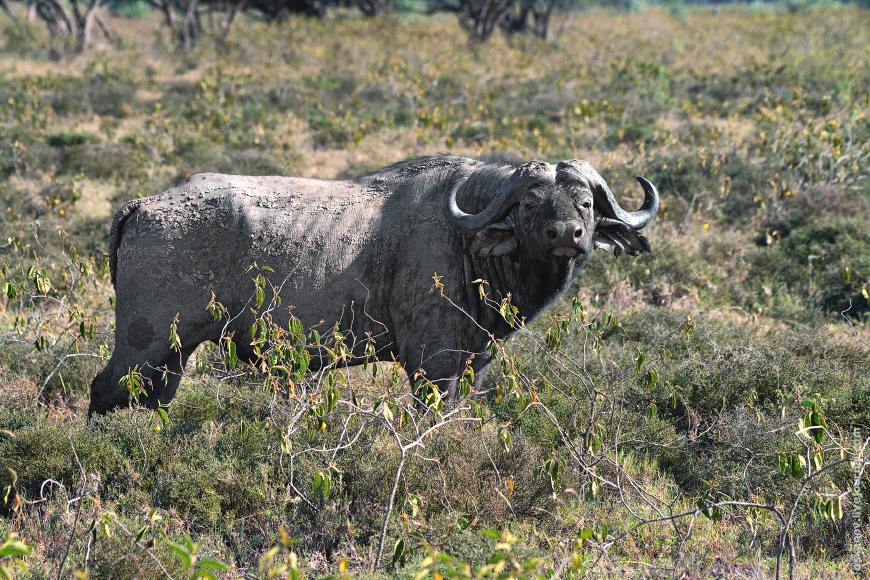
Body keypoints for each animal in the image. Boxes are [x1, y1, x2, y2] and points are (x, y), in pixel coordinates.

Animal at [90, 156, 660, 414]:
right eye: (532, 204)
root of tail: (145, 205)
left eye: (585, 202)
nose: (567, 234)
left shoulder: (472, 366)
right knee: (103, 391)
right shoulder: (433, 365)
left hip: (170, 357)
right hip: (145, 346)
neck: (463, 237)